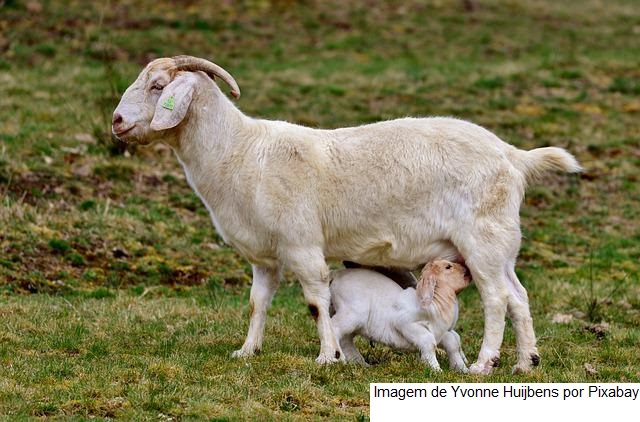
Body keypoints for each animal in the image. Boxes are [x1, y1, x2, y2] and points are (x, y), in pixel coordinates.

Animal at [330, 260, 471, 372]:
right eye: (448, 267)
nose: (467, 269)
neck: (436, 303)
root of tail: (334, 275)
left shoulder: (440, 332)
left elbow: (453, 343)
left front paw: (462, 369)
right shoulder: (405, 322)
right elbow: (429, 341)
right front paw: (435, 369)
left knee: (345, 339)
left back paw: (361, 363)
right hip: (352, 313)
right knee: (334, 328)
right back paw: (334, 359)